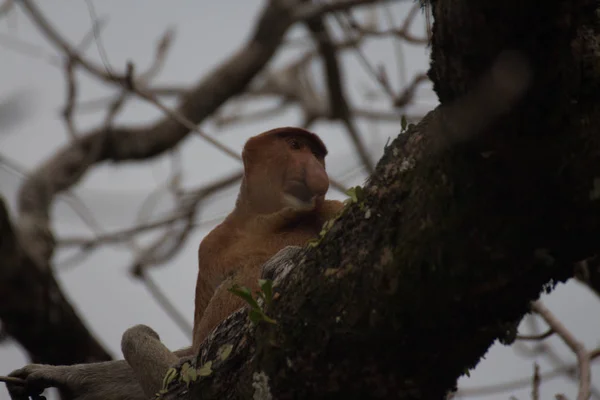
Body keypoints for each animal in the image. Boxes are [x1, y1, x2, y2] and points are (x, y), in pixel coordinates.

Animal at [5, 128, 342, 400]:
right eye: (295, 145)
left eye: (316, 154)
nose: (316, 168)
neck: (264, 220)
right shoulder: (210, 246)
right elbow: (193, 344)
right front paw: (52, 374)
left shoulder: (329, 208)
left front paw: (284, 259)